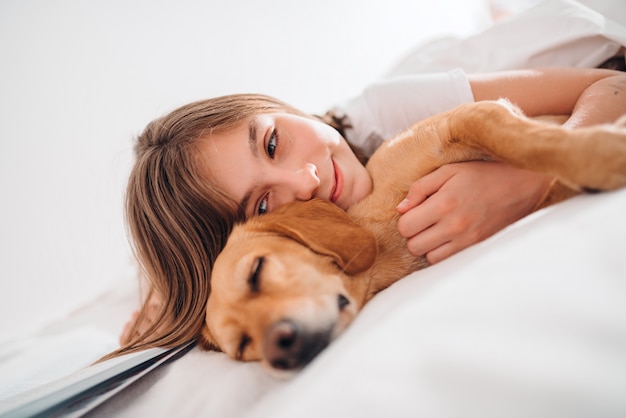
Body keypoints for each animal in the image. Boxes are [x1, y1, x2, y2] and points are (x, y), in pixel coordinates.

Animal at [199, 100, 624, 372]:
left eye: (256, 271)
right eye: (243, 347)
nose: (278, 352)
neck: (385, 237)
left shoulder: (473, 116)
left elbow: (530, 142)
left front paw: (601, 154)